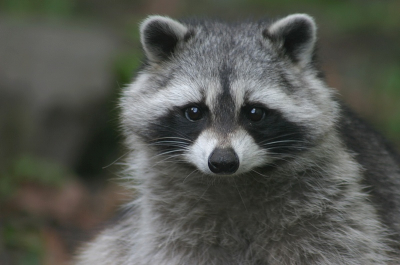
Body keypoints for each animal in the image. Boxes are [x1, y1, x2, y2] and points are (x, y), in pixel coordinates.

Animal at [76, 14, 400, 264]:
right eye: (194, 111)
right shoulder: (169, 226)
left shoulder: (334, 212)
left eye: (254, 112)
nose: (222, 161)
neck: (232, 183)